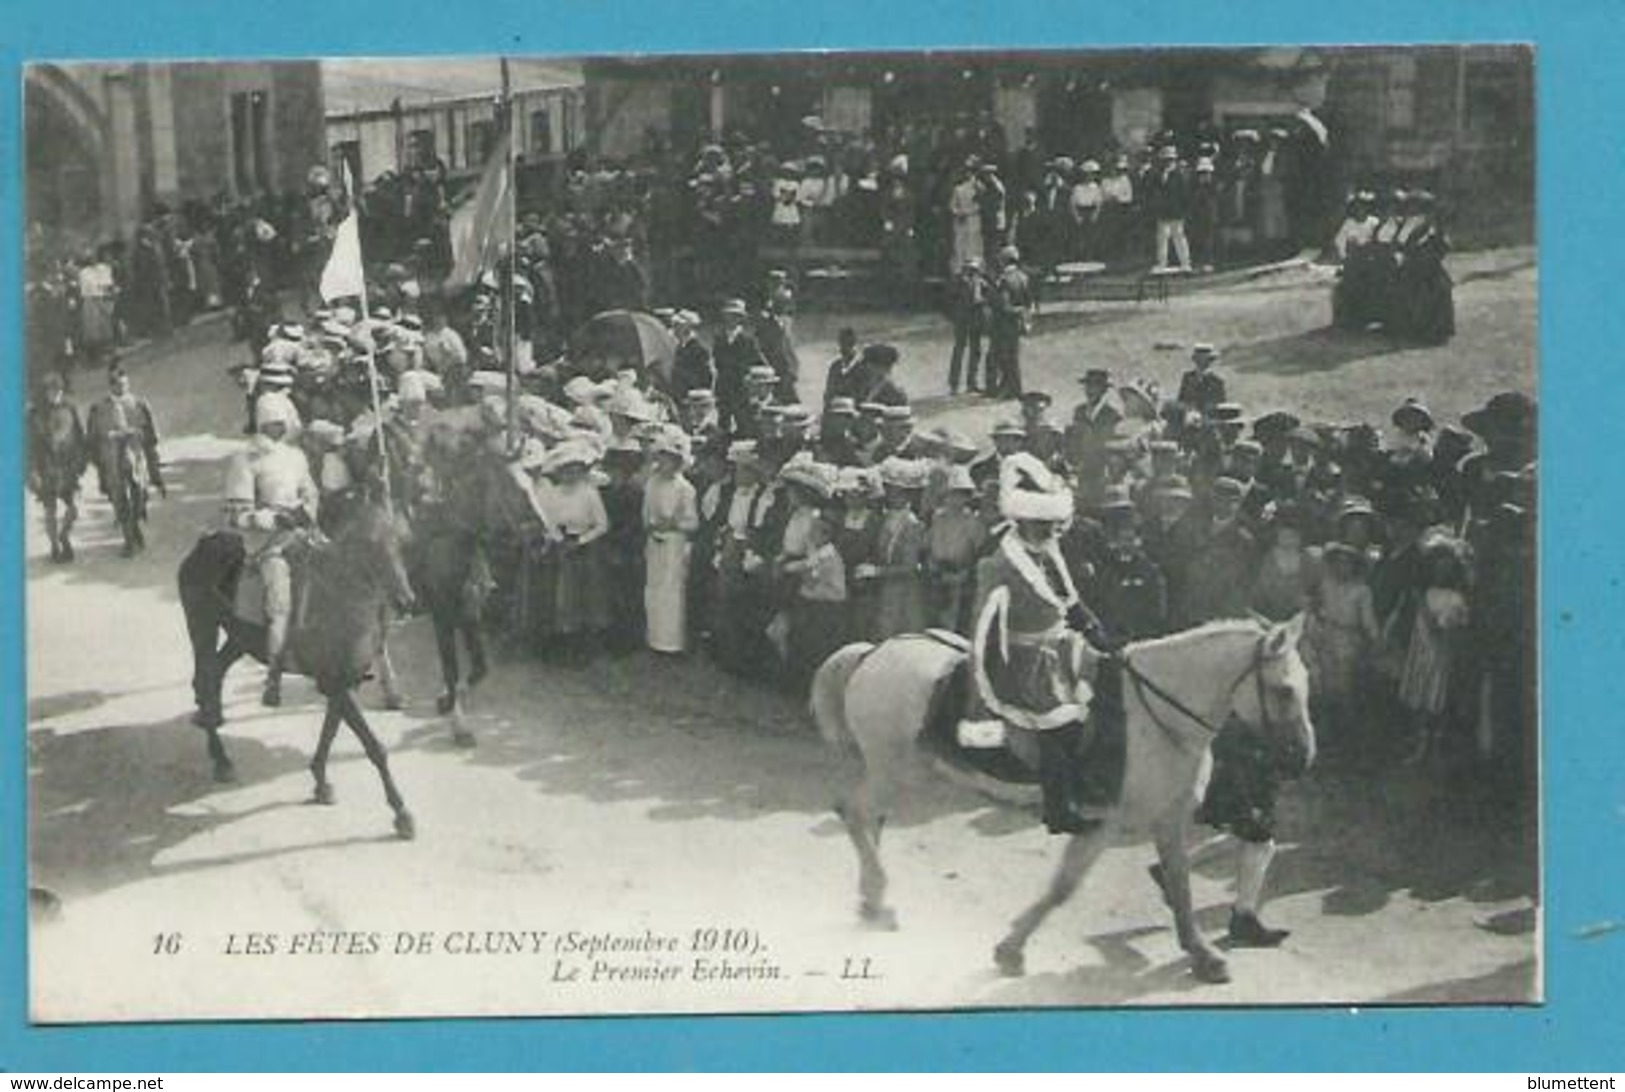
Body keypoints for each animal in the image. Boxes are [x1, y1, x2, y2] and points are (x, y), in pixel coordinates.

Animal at [176, 500, 425, 838]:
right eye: (370, 545)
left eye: (404, 542)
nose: (405, 601)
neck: (339, 599)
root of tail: (204, 543)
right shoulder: (334, 683)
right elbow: (374, 746)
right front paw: (401, 813)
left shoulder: (342, 683)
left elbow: (330, 732)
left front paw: (320, 782)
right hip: (201, 625)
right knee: (203, 679)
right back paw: (221, 758)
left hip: (239, 639)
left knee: (213, 675)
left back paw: (213, 725)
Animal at [812, 617, 1319, 988]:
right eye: (1284, 690)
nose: (1302, 757)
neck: (1154, 717)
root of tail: (875, 652)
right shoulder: (1102, 824)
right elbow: (1063, 888)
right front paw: (1011, 948)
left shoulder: (1168, 819)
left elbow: (1179, 882)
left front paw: (1203, 953)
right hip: (894, 768)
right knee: (854, 813)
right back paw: (878, 899)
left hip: (900, 772)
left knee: (868, 820)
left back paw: (872, 899)